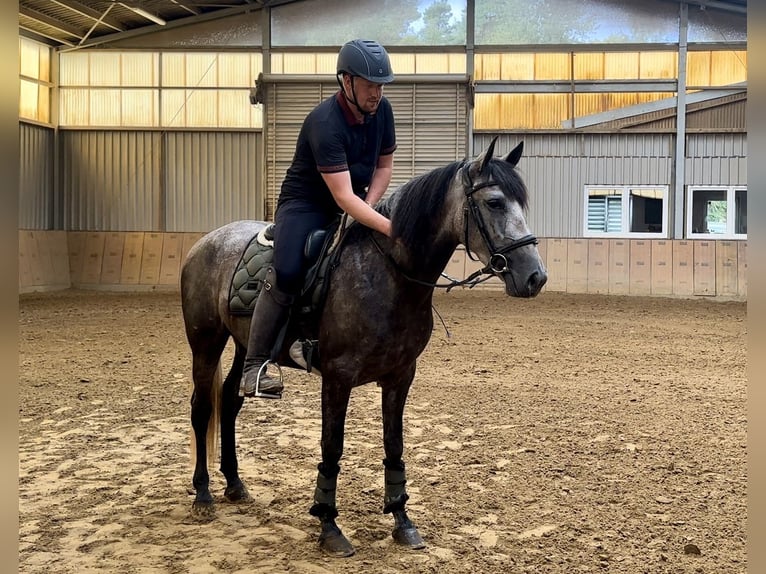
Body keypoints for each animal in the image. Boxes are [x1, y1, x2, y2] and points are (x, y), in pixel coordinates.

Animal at [182, 135, 544, 560]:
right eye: (495, 202)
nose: (535, 276)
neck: (389, 275)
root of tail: (206, 241)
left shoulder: (400, 376)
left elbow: (394, 444)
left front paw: (402, 521)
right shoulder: (337, 378)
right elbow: (331, 448)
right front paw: (328, 525)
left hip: (244, 346)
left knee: (230, 400)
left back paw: (235, 485)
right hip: (205, 341)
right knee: (202, 408)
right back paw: (203, 495)